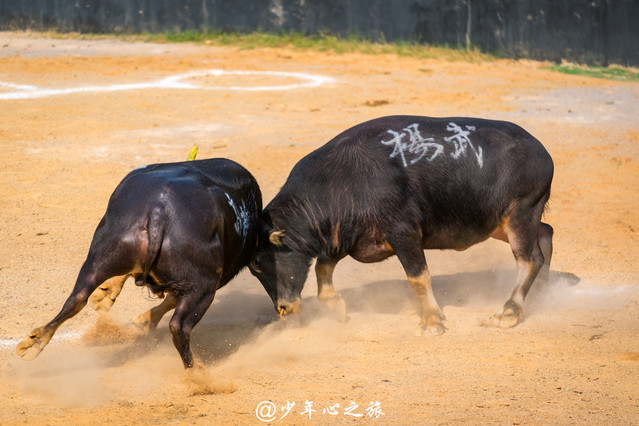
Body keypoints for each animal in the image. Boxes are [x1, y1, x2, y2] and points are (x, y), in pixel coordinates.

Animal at [17, 158, 262, 368]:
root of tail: (158, 211)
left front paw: (108, 295)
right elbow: (170, 300)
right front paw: (138, 318)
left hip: (102, 254)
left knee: (77, 297)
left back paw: (35, 342)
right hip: (203, 285)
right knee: (179, 326)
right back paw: (198, 375)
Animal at [250, 116, 556, 336]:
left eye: (257, 262)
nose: (283, 308)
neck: (341, 181)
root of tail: (542, 152)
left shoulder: (404, 232)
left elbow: (419, 278)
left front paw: (433, 321)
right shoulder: (344, 237)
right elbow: (323, 268)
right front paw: (335, 307)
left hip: (520, 214)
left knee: (528, 260)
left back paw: (509, 312)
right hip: (499, 223)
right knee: (545, 235)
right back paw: (542, 293)